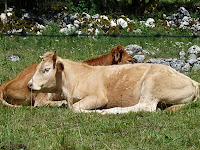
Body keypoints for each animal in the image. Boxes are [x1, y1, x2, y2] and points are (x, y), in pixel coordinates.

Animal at [28, 51, 200, 113]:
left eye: (46, 69)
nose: (29, 84)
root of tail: (193, 81)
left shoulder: (98, 97)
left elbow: (75, 108)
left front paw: (95, 111)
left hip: (151, 84)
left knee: (145, 107)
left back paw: (110, 110)